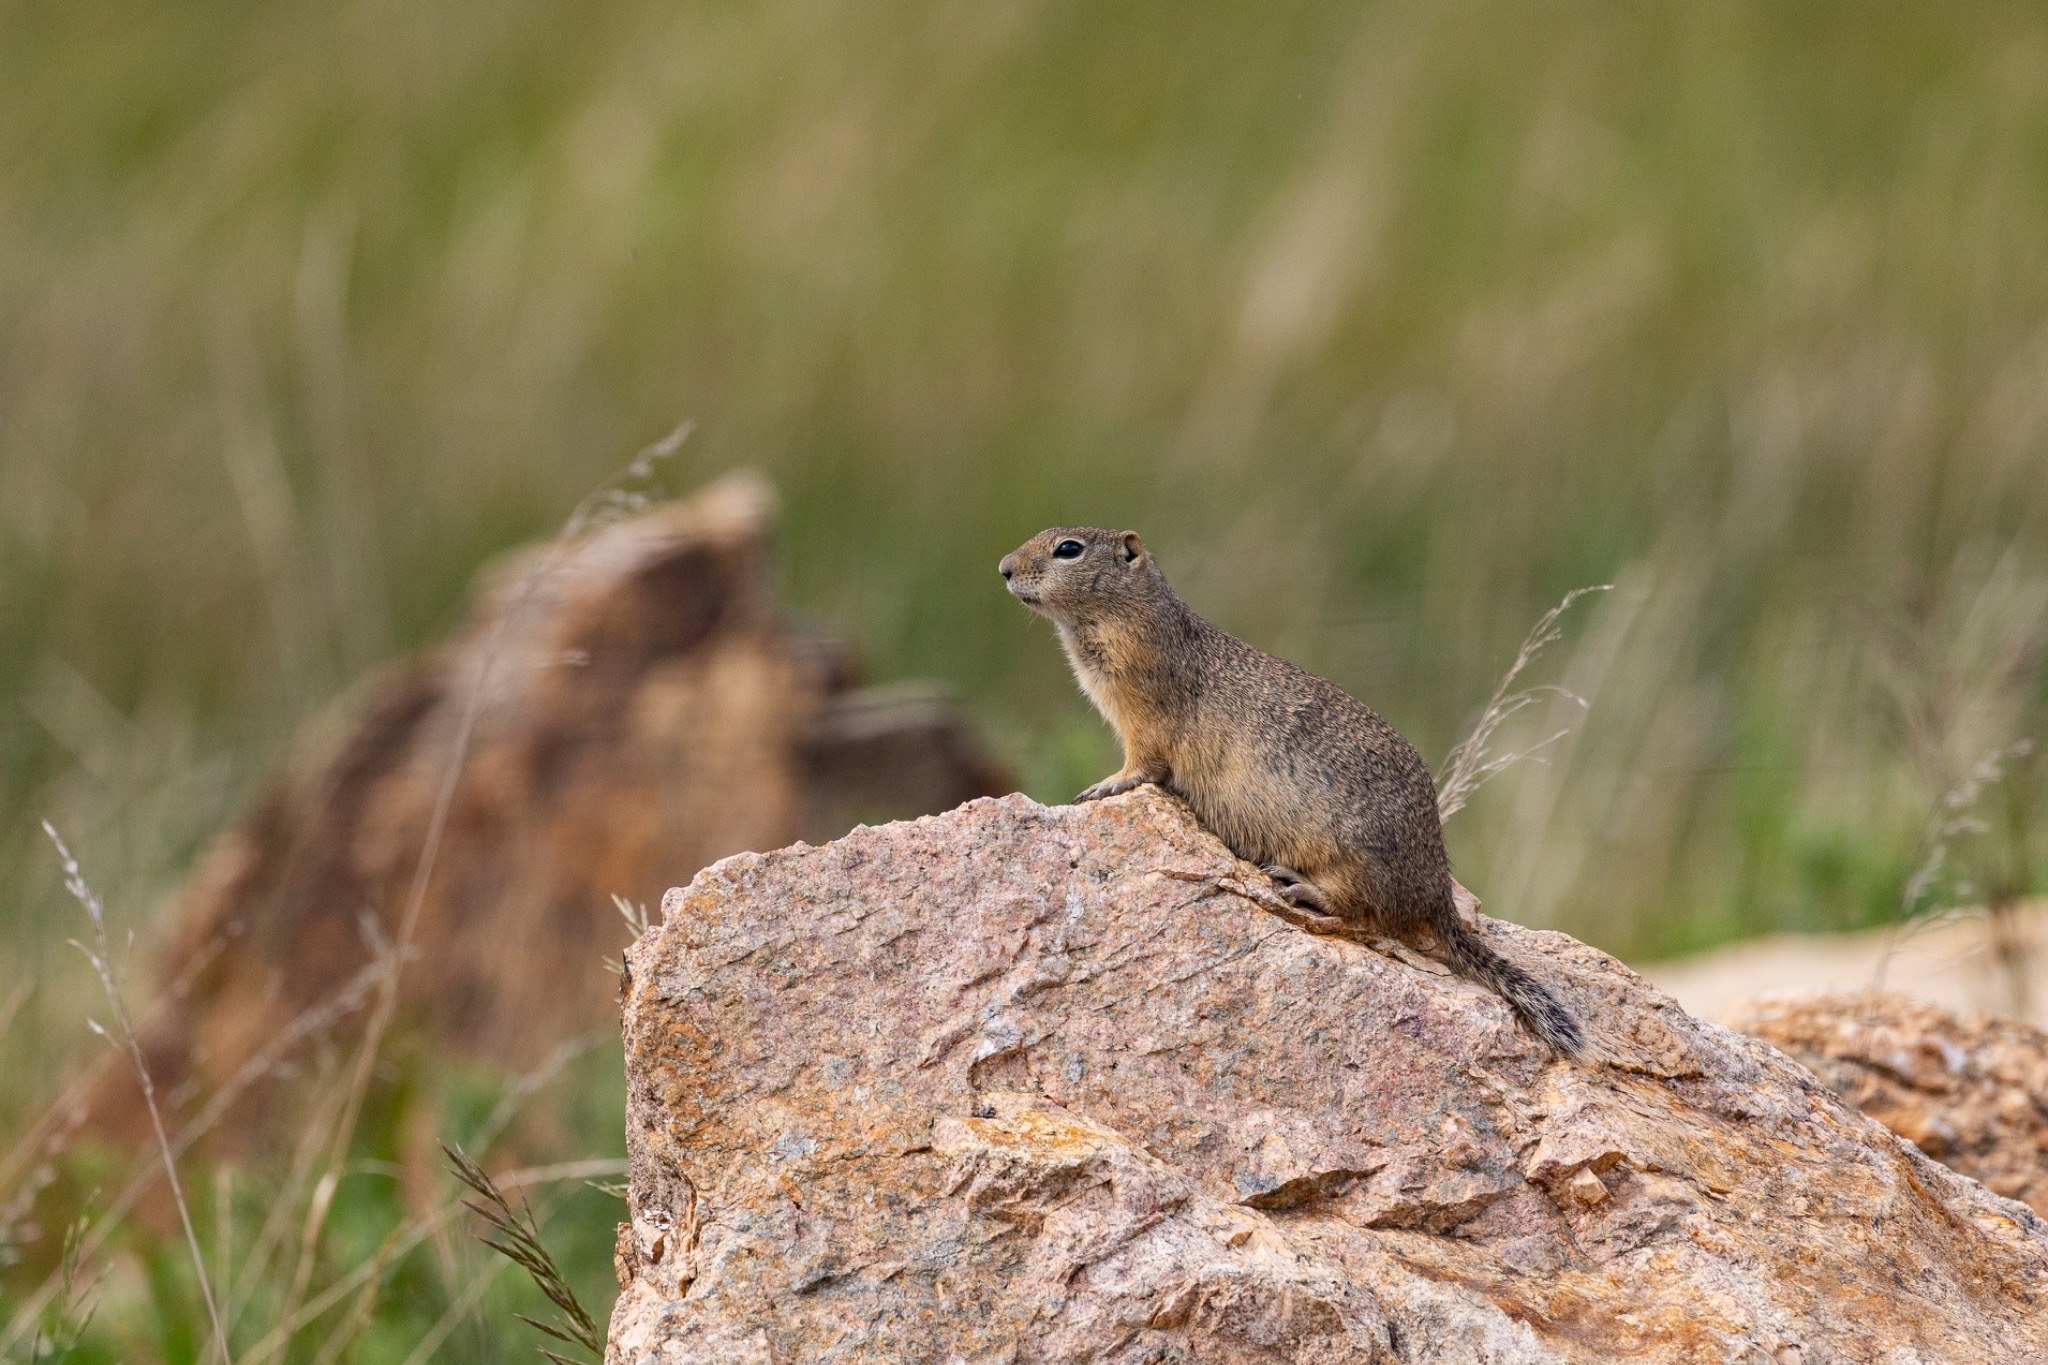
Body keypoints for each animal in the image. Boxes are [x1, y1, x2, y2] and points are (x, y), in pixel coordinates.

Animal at [999, 525, 1582, 1056]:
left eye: (1068, 549)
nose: (1003, 567)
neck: (1129, 618)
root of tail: (1437, 891)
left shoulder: (1144, 712)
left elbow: (1143, 764)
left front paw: (1103, 785)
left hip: (1352, 861)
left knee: (1363, 913)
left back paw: (1299, 885)